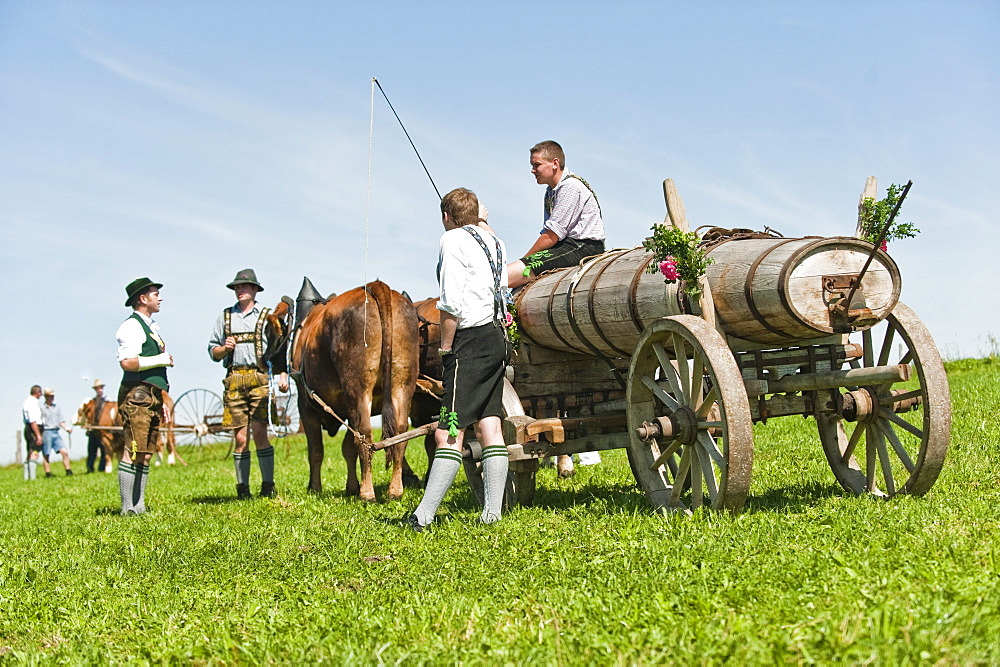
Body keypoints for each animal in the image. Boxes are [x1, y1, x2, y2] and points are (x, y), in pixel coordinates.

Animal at [270, 278, 418, 500]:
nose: (266, 360)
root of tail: (376, 285)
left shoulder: (306, 405)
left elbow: (316, 449)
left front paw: (314, 487)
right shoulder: (348, 408)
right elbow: (348, 448)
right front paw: (352, 486)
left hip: (358, 388)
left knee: (364, 434)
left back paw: (367, 492)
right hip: (402, 383)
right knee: (399, 433)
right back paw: (394, 490)